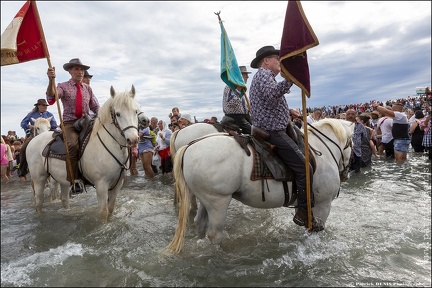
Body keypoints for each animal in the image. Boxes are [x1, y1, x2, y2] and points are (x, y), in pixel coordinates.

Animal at [25, 85, 142, 223]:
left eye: (135, 111)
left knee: (64, 199)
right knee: (38, 202)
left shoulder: (117, 184)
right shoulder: (101, 185)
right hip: (39, 179)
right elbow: (103, 212)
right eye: (118, 114)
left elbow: (111, 209)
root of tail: (32, 142)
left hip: (63, 180)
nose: (133, 140)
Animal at [166, 118, 354, 253]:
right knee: (215, 234)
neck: (320, 149)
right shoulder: (323, 205)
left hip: (206, 199)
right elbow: (315, 229)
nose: (346, 174)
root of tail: (189, 147)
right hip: (218, 201)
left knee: (200, 222)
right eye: (352, 144)